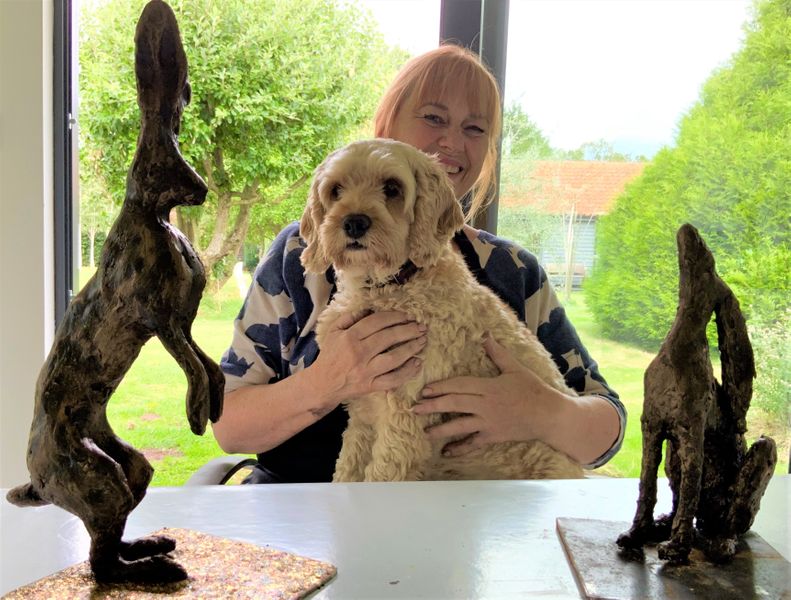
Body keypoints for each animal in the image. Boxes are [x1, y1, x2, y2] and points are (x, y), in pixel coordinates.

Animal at [300, 138, 584, 480]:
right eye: (336, 189)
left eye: (392, 187)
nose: (354, 223)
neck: (388, 285)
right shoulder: (363, 412)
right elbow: (346, 472)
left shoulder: (404, 422)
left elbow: (379, 476)